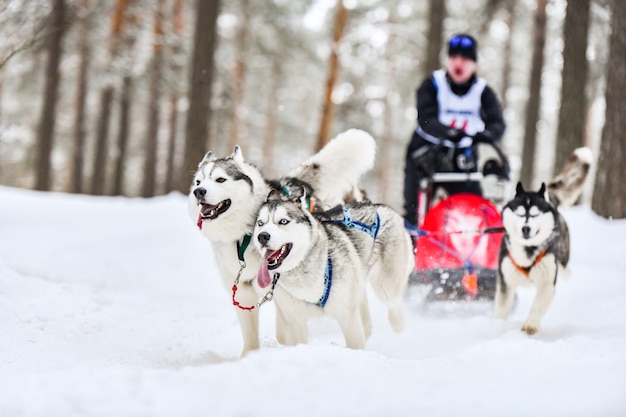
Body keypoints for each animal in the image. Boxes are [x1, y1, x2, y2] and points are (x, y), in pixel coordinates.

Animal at [188, 128, 376, 352]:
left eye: (220, 180)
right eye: (198, 182)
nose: (198, 192)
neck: (242, 237)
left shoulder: (281, 297)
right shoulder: (244, 293)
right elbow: (251, 338)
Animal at [251, 188, 412, 348]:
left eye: (283, 221)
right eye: (260, 223)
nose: (262, 236)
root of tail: (380, 206)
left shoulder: (347, 316)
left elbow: (355, 343)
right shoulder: (295, 320)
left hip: (386, 286)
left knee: (394, 305)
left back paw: (398, 328)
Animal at [492, 146, 588, 334]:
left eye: (535, 215)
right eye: (520, 214)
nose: (526, 228)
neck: (527, 252)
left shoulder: (547, 283)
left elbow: (537, 306)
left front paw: (530, 325)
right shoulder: (505, 281)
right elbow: (502, 308)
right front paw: (496, 325)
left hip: (562, 259)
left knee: (565, 270)